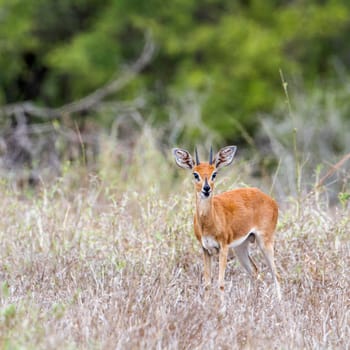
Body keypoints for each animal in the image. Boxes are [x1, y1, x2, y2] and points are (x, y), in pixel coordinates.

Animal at [172, 146, 282, 300]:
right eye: (195, 174)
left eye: (214, 174)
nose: (206, 189)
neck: (208, 223)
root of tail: (271, 200)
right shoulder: (205, 249)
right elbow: (207, 283)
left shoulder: (223, 247)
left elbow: (221, 283)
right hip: (241, 247)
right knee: (255, 271)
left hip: (265, 241)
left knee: (276, 274)